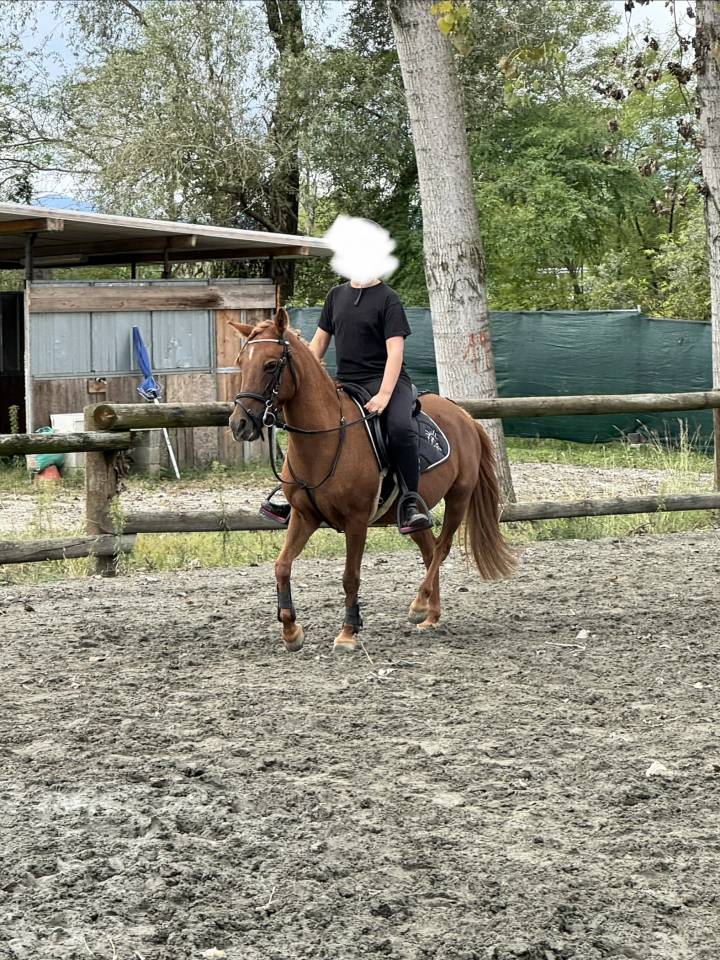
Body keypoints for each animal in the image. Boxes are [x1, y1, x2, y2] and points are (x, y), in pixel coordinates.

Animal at [228, 307, 516, 653]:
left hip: (459, 497)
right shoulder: (304, 515)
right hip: (411, 515)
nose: (239, 424)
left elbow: (350, 576)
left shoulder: (356, 522)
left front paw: (348, 632)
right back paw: (431, 615)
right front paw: (291, 631)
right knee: (429, 549)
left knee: (442, 548)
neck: (326, 438)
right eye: (241, 362)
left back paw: (419, 605)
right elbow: (281, 566)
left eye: (271, 364)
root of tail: (465, 417)